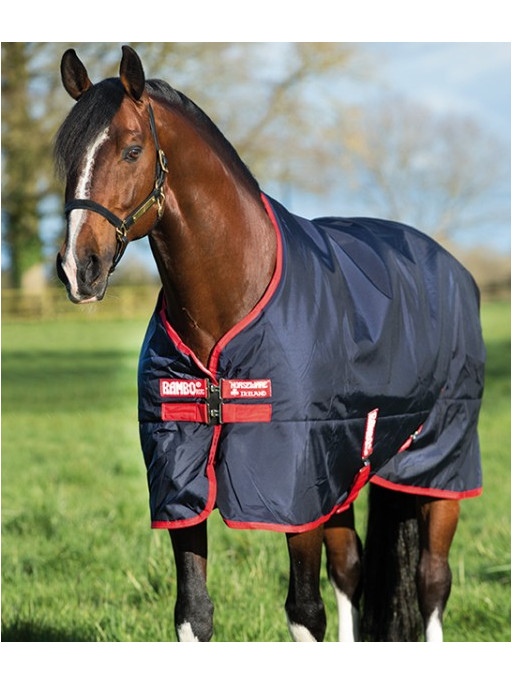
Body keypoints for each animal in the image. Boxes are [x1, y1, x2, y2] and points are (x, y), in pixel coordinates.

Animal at [55, 45, 485, 642]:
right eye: (65, 156)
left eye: (131, 150)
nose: (79, 269)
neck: (229, 304)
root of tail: (450, 264)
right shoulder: (182, 484)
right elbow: (194, 613)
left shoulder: (292, 489)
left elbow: (305, 612)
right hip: (343, 474)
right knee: (350, 569)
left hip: (441, 465)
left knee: (431, 583)